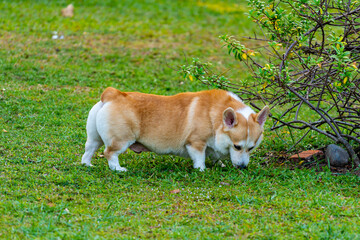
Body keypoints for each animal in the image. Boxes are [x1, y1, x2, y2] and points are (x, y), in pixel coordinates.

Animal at [81, 87, 268, 172]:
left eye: (251, 148)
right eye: (237, 146)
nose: (242, 167)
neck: (216, 117)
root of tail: (112, 94)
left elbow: (214, 156)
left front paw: (219, 164)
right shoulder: (196, 143)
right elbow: (199, 158)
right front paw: (202, 170)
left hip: (94, 138)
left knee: (89, 150)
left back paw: (87, 164)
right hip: (121, 140)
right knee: (110, 153)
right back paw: (118, 169)